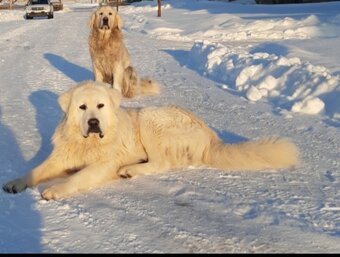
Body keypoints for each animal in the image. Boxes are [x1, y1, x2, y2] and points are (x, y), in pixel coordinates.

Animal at [3, 81, 298, 199]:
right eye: (82, 108)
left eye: (100, 106)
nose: (94, 123)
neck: (90, 142)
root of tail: (209, 134)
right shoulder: (61, 158)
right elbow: (35, 171)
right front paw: (15, 183)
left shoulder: (102, 166)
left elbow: (77, 177)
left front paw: (55, 189)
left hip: (149, 119)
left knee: (161, 162)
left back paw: (130, 170)